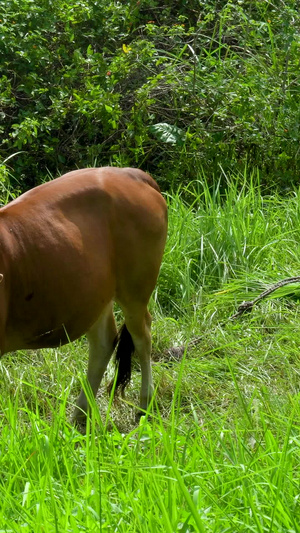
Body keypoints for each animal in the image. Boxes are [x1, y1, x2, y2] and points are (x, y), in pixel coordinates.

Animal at [0, 166, 168, 424]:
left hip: (135, 288)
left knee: (142, 336)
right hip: (95, 294)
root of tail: (130, 173)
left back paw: (144, 404)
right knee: (104, 342)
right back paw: (80, 413)